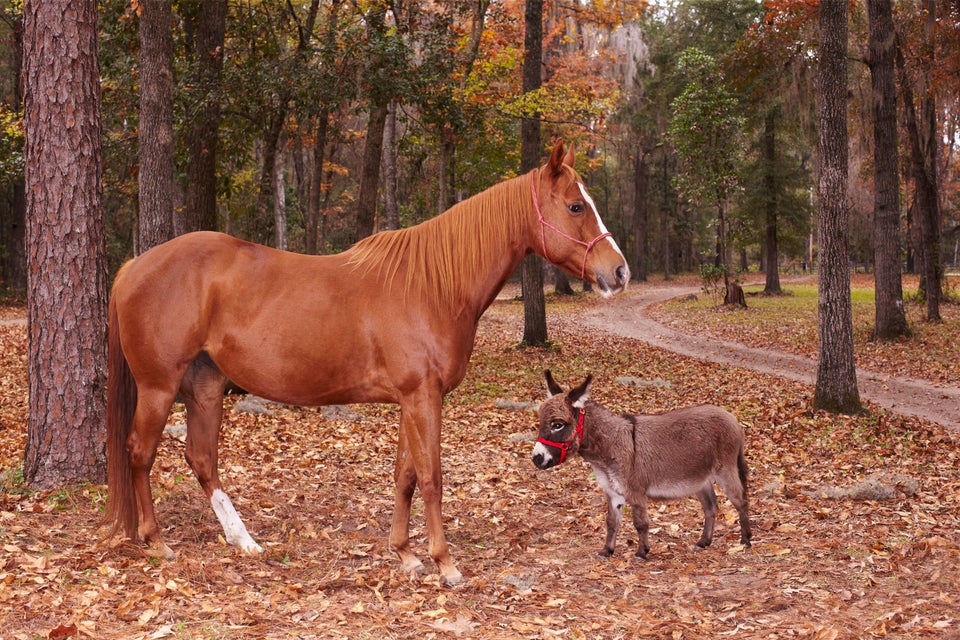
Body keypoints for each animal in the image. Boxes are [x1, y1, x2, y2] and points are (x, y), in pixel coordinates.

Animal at [103, 140, 632, 584]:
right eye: (576, 205)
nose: (619, 271)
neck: (433, 285)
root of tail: (133, 266)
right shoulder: (423, 399)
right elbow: (432, 477)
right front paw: (445, 564)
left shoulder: (411, 400)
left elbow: (405, 476)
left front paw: (406, 554)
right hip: (158, 387)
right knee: (140, 452)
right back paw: (156, 541)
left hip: (206, 386)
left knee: (201, 458)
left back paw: (243, 540)